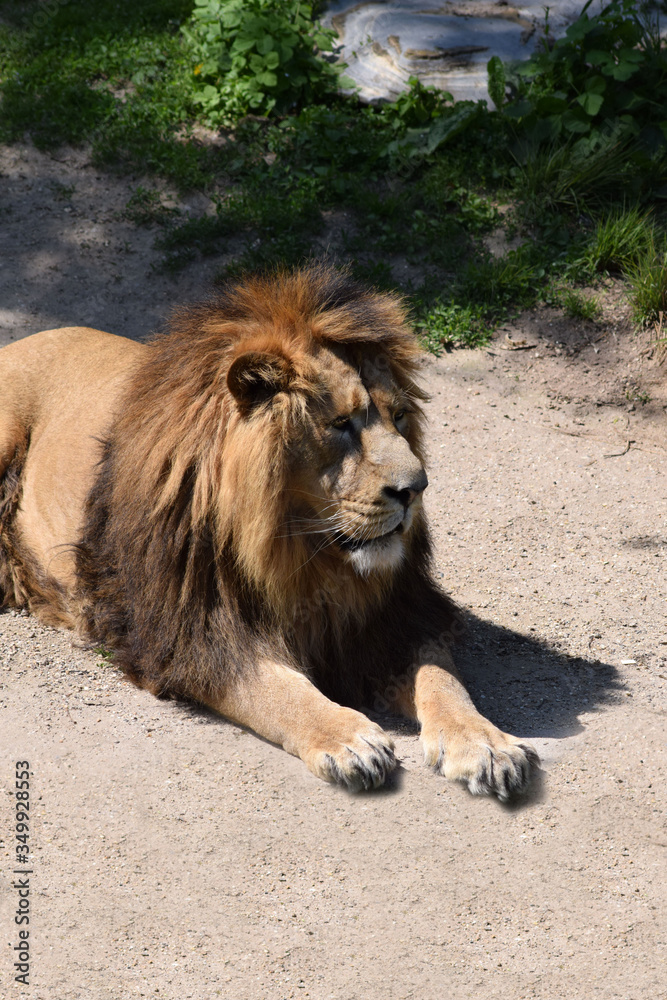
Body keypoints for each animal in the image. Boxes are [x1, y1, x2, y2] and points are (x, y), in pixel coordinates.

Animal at [0, 265, 538, 797]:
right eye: (341, 423)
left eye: (400, 416)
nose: (416, 487)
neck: (302, 556)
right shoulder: (185, 631)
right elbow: (273, 687)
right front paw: (347, 738)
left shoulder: (398, 617)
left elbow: (441, 679)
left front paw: (485, 743)